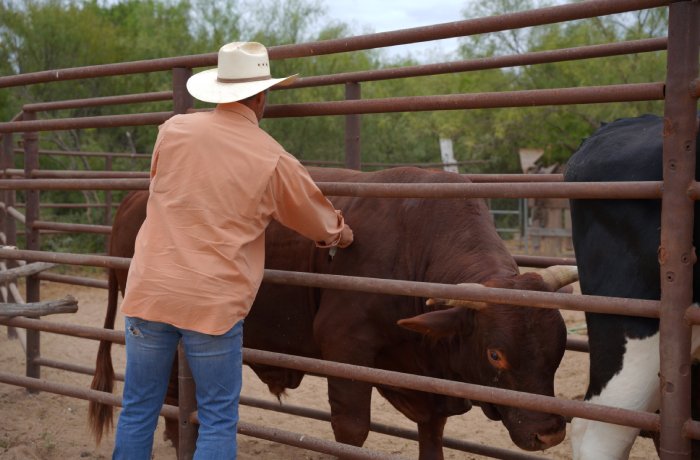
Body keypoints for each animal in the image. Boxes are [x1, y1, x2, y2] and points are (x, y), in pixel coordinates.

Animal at [90, 166, 577, 460]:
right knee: (173, 393)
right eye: (496, 354)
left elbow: (432, 430)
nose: (550, 433)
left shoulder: (425, 376)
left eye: (559, 348)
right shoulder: (346, 348)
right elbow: (353, 429)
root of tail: (132, 199)